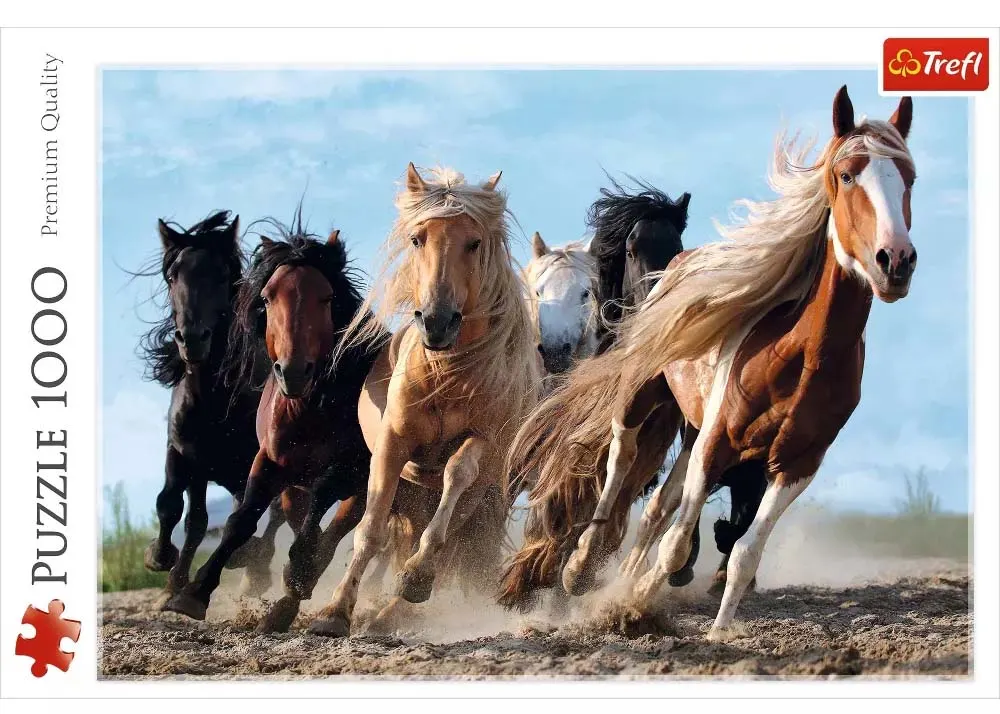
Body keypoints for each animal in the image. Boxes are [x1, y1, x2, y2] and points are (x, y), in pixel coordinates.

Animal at [138, 210, 280, 606]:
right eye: (173, 275)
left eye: (221, 274)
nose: (192, 339)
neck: (213, 401)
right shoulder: (185, 454)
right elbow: (177, 508)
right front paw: (165, 568)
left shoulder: (253, 462)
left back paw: (254, 570)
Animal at [163, 215, 386, 633]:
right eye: (267, 298)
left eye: (326, 297)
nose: (293, 372)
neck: (309, 408)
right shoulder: (267, 461)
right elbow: (241, 520)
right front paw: (193, 593)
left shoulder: (350, 469)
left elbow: (320, 507)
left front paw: (297, 571)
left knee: (333, 533)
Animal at [307, 164, 541, 638]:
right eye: (418, 239)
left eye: (474, 242)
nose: (436, 322)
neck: (446, 375)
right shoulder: (392, 446)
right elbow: (370, 531)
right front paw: (334, 611)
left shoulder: (483, 443)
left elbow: (456, 475)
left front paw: (416, 577)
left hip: (483, 496)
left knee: (451, 539)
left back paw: (398, 604)